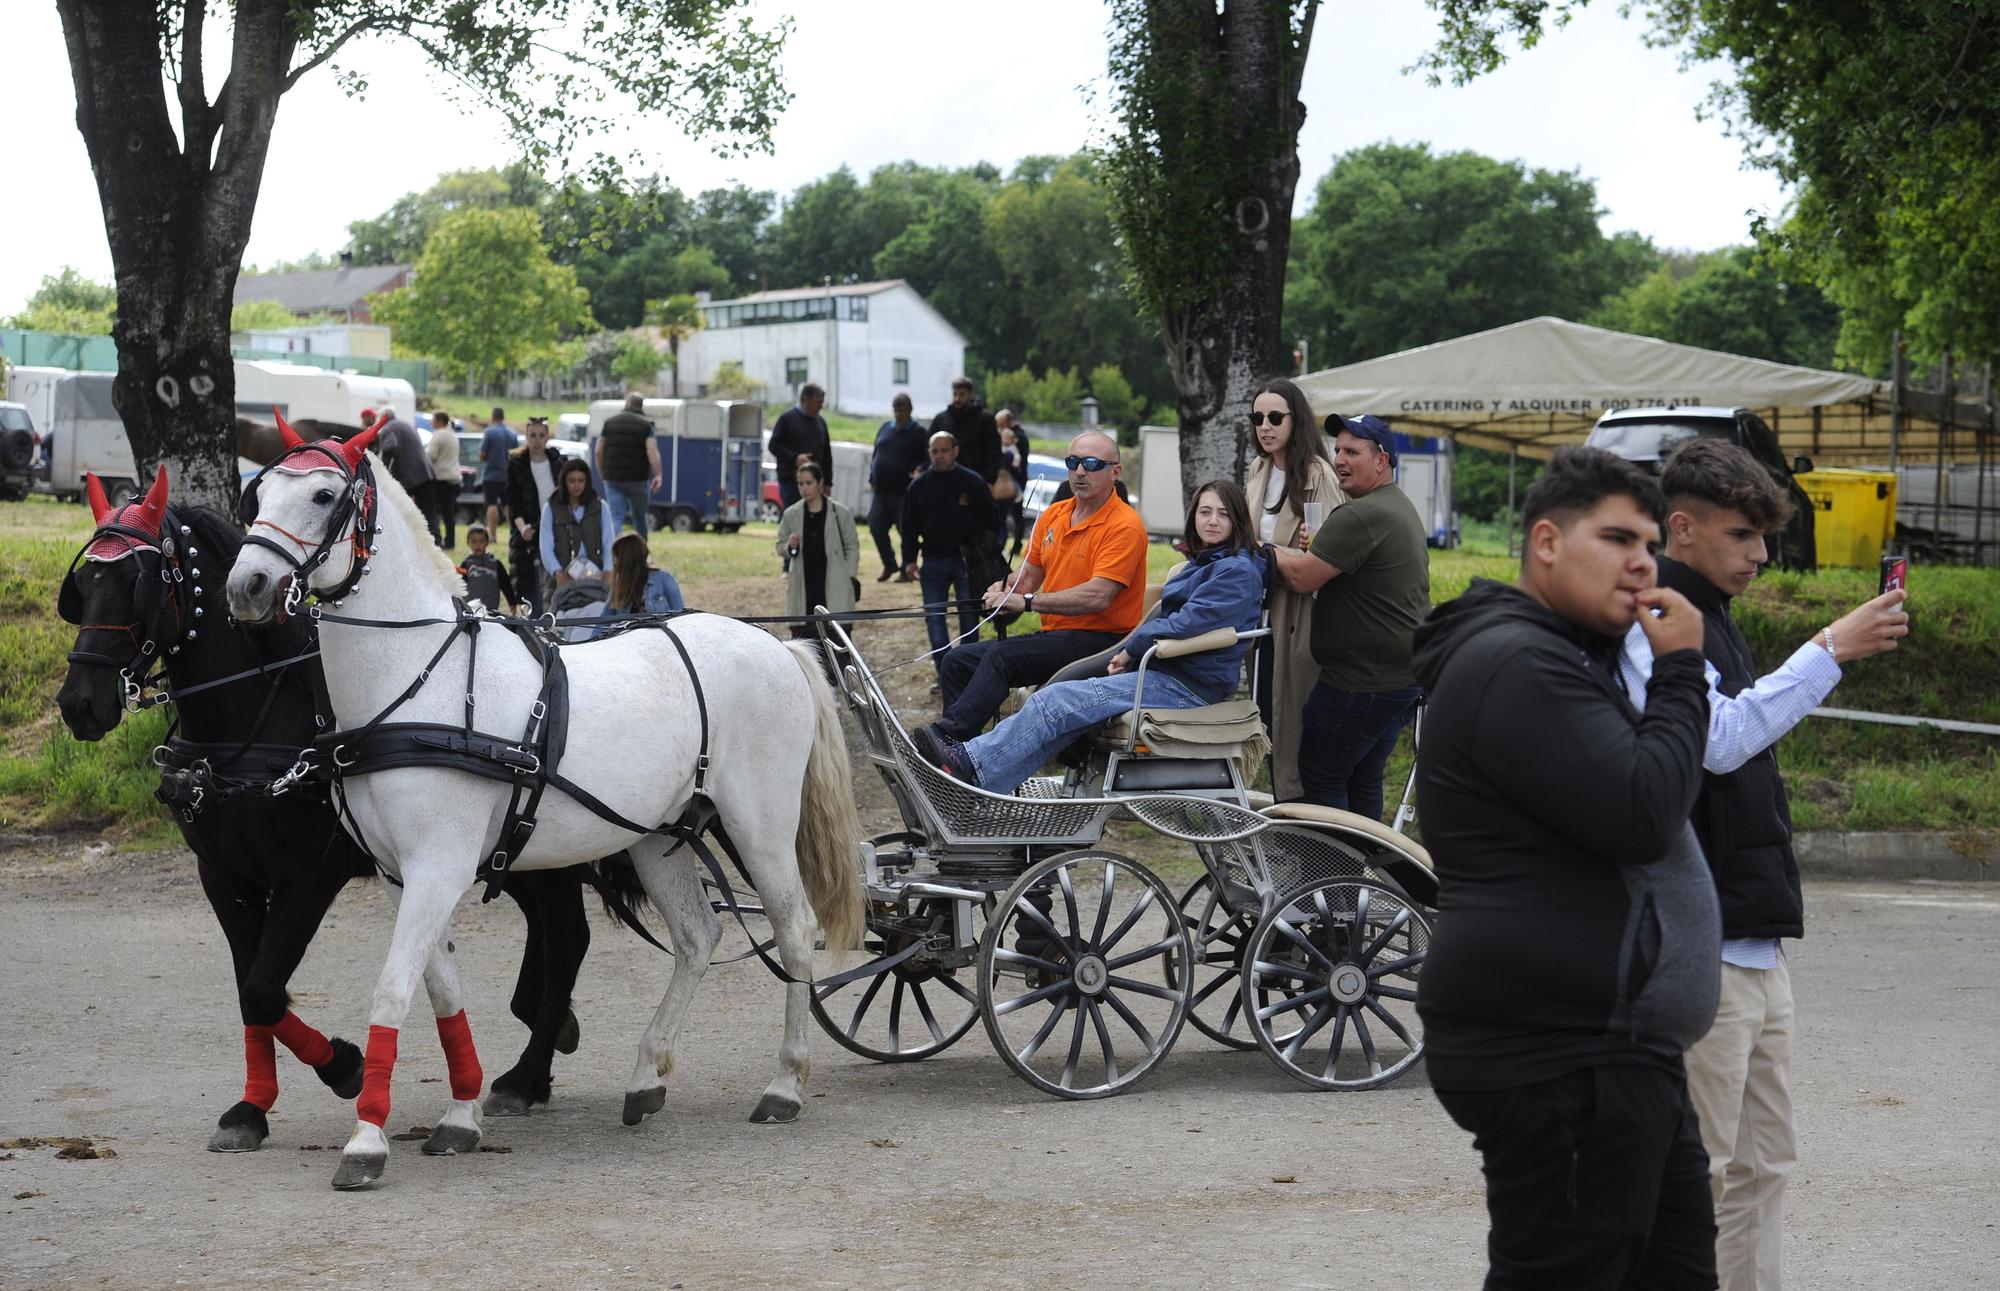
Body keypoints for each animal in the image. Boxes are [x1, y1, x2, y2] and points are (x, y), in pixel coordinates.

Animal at [56, 473, 616, 1151]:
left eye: (141, 580)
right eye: (83, 585)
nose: (80, 703)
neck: (254, 723)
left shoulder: (309, 875)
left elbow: (265, 988)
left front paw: (344, 1066)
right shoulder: (223, 877)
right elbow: (250, 990)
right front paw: (251, 1107)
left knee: (567, 939)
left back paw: (528, 1073)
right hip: (512, 851)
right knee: (553, 933)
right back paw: (544, 1029)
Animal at [225, 425, 860, 1191]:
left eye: (323, 495)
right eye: (258, 492)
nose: (246, 586)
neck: (421, 681)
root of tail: (777, 644)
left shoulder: (437, 868)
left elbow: (393, 990)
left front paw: (367, 1138)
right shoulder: (402, 875)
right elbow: (443, 992)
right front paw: (461, 1114)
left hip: (758, 827)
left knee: (794, 931)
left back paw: (785, 1084)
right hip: (659, 837)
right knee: (697, 936)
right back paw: (647, 1074)